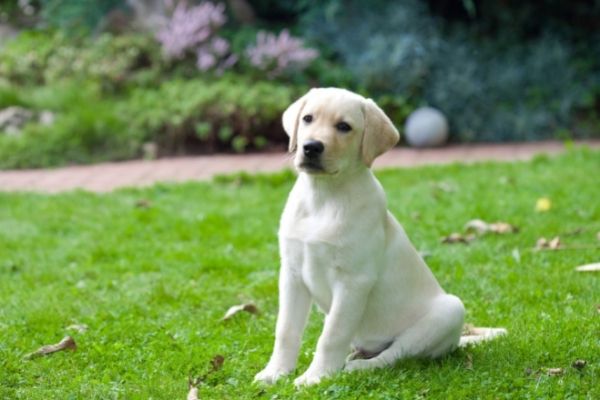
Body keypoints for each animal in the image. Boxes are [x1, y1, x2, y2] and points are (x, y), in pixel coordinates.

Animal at [255, 88, 466, 388]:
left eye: (344, 127)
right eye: (308, 118)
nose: (311, 147)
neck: (324, 197)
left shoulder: (353, 281)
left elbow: (332, 335)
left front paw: (316, 377)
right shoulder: (292, 274)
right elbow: (285, 329)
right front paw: (275, 371)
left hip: (449, 311)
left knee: (394, 354)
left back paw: (357, 367)